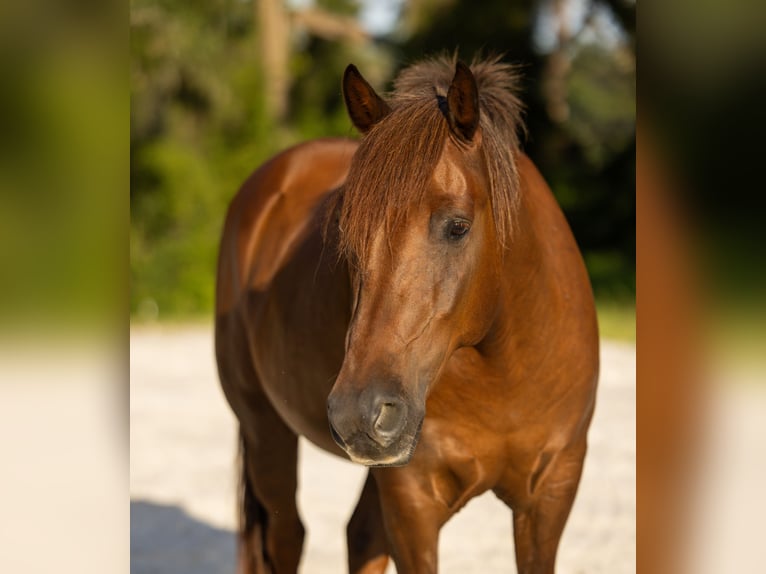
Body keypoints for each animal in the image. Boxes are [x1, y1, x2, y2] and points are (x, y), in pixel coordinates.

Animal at [215, 55, 599, 574]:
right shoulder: (413, 502)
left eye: (457, 226)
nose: (357, 414)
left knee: (358, 535)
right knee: (288, 536)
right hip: (265, 428)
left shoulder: (550, 496)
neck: (504, 371)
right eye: (345, 234)